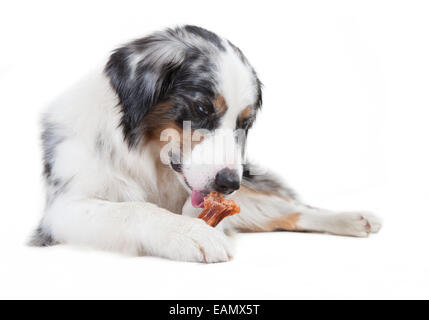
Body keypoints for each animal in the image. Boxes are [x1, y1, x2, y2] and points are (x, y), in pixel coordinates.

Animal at [28, 25, 380, 262]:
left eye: (244, 123)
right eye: (201, 109)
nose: (229, 184)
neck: (147, 161)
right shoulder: (61, 210)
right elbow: (133, 209)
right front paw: (189, 232)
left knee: (290, 209)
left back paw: (354, 218)